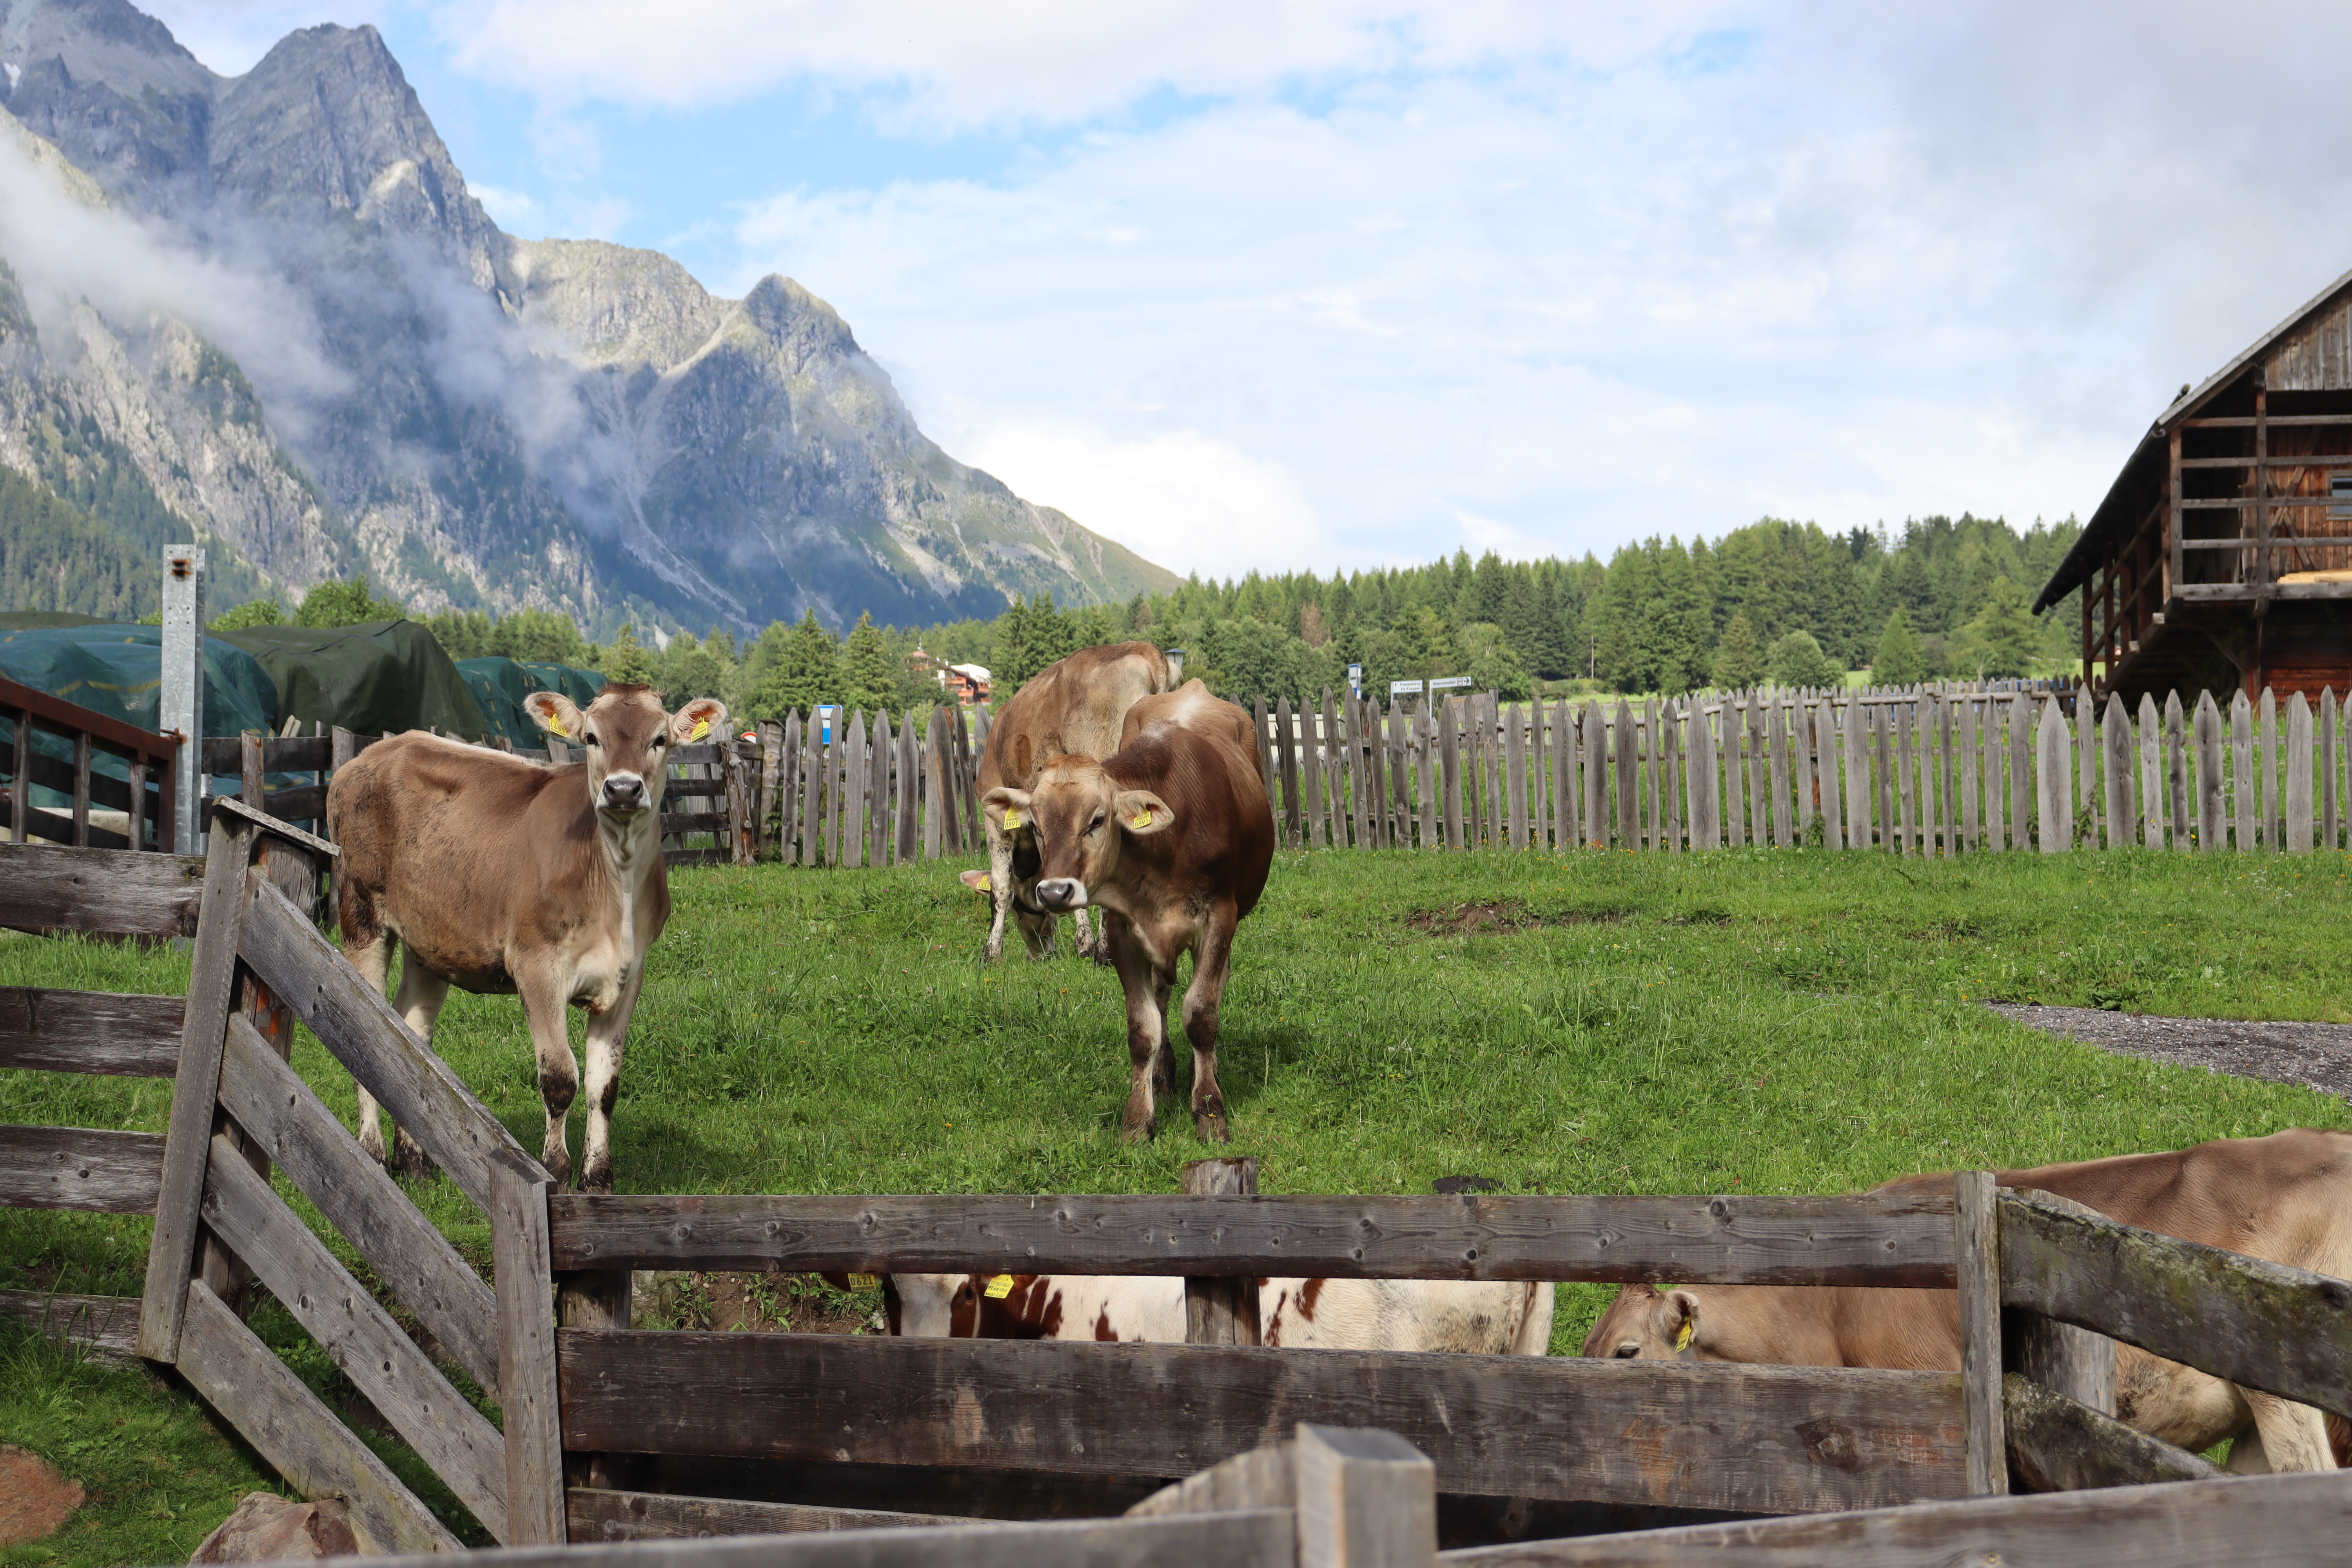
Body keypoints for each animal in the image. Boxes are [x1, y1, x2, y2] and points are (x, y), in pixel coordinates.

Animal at [325, 683, 725, 1192]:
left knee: (408, 1032)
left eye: (659, 739)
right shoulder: (536, 966)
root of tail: (374, 752)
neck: (615, 890)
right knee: (364, 1025)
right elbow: (560, 1078)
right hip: (360, 913)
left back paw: (414, 1162)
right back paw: (374, 1154)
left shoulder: (630, 974)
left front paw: (598, 1179)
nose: (622, 788)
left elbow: (604, 1085)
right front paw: (555, 1171)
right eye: (591, 738)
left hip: (429, 939)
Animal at [959, 642, 1176, 962]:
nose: (1039, 953)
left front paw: (992, 953)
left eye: (1022, 909)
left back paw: (1106, 951)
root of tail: (1142, 649)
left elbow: (1001, 888)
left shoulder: (995, 819)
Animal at [982, 680, 1273, 1142]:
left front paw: (1210, 1110)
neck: (1167, 846)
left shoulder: (1219, 920)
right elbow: (1143, 1027)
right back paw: (1164, 1076)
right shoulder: (1122, 930)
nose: (1055, 891)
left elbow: (1202, 1016)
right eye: (1038, 826)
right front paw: (1139, 1120)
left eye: (1097, 820)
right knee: (1163, 996)